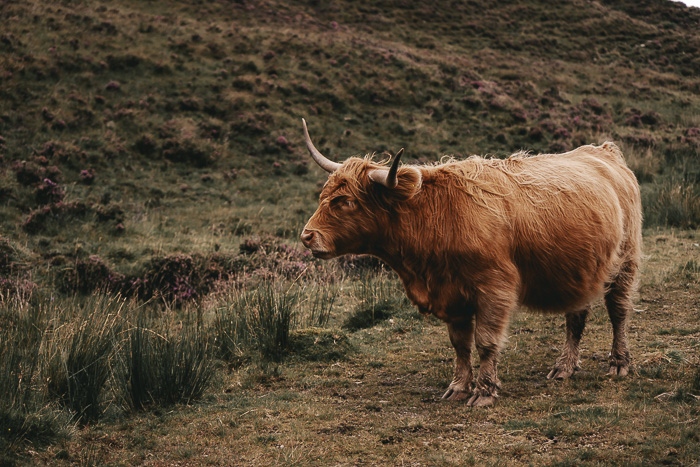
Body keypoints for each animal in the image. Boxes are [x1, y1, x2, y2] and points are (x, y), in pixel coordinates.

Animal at [298, 119, 644, 406]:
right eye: (323, 195)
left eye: (346, 201)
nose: (307, 236)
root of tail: (604, 151)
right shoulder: (453, 295)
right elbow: (460, 344)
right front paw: (459, 387)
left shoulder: (494, 288)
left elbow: (486, 342)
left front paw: (485, 392)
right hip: (579, 269)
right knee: (576, 317)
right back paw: (564, 367)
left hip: (625, 263)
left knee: (619, 311)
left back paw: (619, 363)